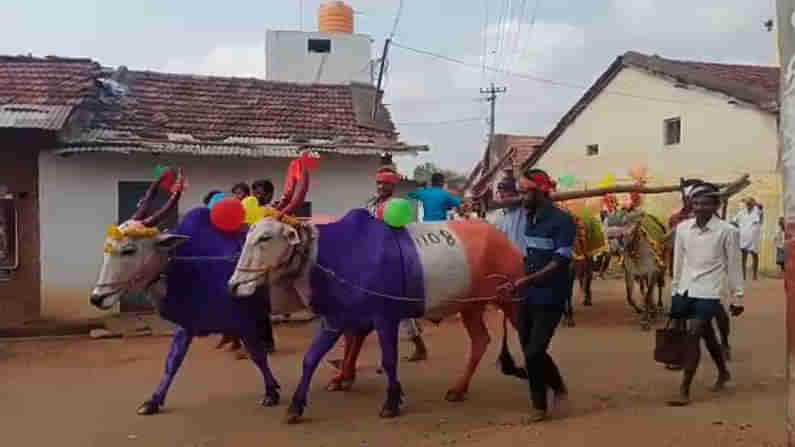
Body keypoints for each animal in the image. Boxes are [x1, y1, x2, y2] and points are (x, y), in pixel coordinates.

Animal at [89, 172, 282, 416]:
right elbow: (173, 361)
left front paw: (271, 392)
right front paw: (153, 401)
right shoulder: (188, 324)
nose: (97, 297)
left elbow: (258, 356)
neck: (191, 263)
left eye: (129, 250)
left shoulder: (243, 318)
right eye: (107, 247)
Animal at [229, 206, 528, 424]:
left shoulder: (385, 318)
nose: (234, 285)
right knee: (480, 341)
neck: (334, 255)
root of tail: (503, 238)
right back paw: (458, 389)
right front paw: (295, 406)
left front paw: (392, 402)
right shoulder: (336, 319)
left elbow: (389, 360)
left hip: (511, 298)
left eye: (265, 238)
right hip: (471, 306)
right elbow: (311, 359)